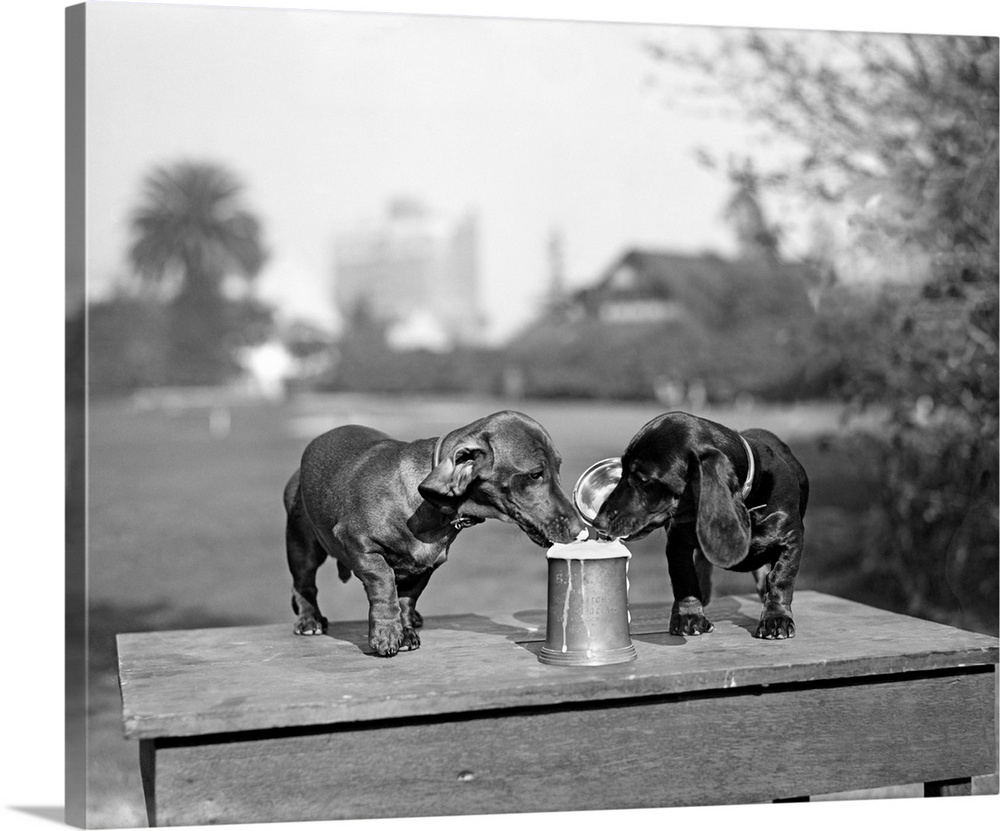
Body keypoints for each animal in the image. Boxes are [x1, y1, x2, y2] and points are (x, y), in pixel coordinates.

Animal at [282, 410, 584, 656]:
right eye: (535, 474)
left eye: (558, 467)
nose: (580, 530)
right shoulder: (358, 543)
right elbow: (384, 582)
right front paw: (387, 632)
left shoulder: (426, 566)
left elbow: (405, 599)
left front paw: (405, 631)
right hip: (302, 545)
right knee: (304, 585)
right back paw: (309, 620)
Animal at [588, 412, 808, 640]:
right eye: (621, 472)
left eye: (643, 479)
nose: (598, 522)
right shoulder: (678, 542)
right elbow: (685, 579)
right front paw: (689, 617)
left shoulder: (791, 539)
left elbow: (781, 580)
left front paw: (777, 619)